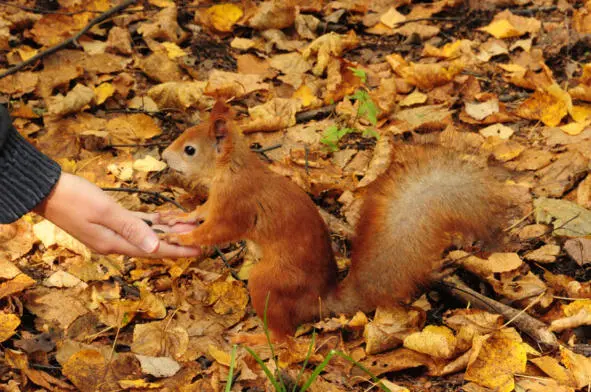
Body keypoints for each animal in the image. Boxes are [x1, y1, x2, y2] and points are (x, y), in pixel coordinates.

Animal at [161, 100, 508, 340]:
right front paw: (177, 216)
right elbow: (202, 212)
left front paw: (178, 238)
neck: (231, 169)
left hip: (269, 281)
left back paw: (256, 340)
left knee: (285, 338)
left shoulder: (237, 204)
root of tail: (318, 303)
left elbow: (216, 230)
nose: (164, 156)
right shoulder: (216, 201)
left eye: (190, 150)